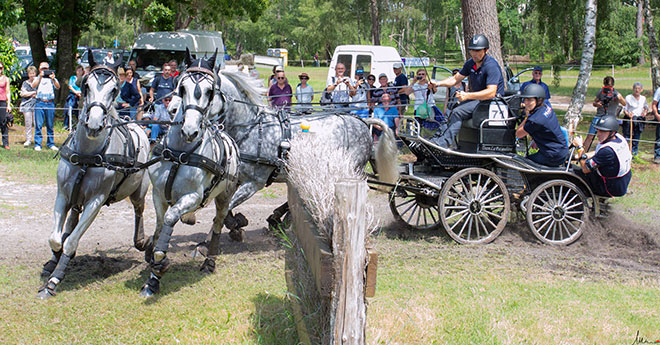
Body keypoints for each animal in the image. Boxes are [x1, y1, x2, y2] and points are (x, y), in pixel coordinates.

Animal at [39, 49, 151, 298]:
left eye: (115, 89)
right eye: (86, 85)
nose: (94, 125)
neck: (87, 155)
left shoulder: (95, 201)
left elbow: (71, 241)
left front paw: (53, 282)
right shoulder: (63, 194)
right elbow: (56, 239)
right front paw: (54, 261)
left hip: (138, 192)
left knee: (139, 211)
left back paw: (142, 242)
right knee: (70, 221)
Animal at [141, 50, 241, 296]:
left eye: (210, 90)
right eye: (181, 86)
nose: (190, 130)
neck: (180, 152)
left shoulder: (193, 196)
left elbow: (169, 218)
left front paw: (160, 263)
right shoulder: (158, 194)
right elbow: (160, 225)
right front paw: (152, 278)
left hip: (224, 196)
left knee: (218, 222)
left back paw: (209, 261)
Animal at [209, 68, 400, 238]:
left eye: (208, 92)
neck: (253, 127)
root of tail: (362, 121)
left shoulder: (254, 182)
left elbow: (227, 207)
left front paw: (230, 228)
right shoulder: (235, 178)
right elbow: (224, 207)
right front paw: (233, 225)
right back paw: (279, 218)